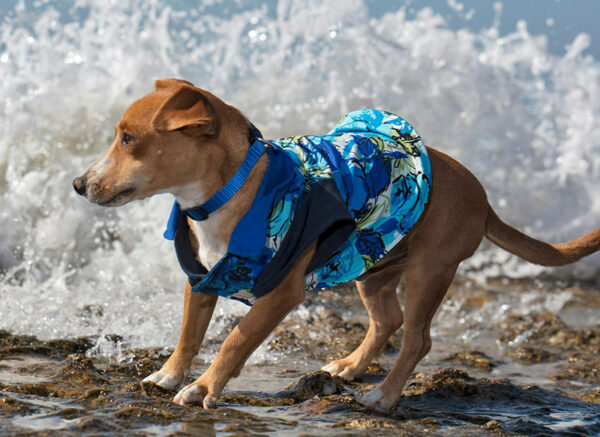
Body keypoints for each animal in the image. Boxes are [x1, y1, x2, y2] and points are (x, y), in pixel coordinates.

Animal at [74, 77, 600, 408]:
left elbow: (235, 341)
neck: (228, 192)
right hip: (373, 264)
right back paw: (349, 366)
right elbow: (189, 333)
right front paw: (168, 375)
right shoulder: (200, 278)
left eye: (128, 139)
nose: (79, 184)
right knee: (387, 321)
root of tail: (483, 198)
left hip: (430, 270)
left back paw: (383, 396)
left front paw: (203, 389)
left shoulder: (280, 295)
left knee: (417, 339)